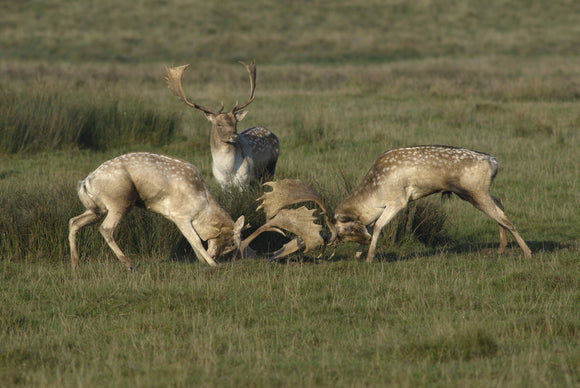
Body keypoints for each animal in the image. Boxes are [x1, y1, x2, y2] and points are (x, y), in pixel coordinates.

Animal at [68, 152, 247, 270]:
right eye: (232, 243)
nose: (215, 256)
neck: (203, 206)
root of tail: (86, 182)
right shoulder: (181, 215)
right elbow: (195, 239)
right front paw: (212, 264)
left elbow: (191, 240)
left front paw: (202, 261)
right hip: (120, 202)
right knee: (106, 228)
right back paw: (128, 264)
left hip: (98, 208)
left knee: (73, 221)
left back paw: (76, 264)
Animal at [164, 58, 280, 189]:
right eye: (219, 124)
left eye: (236, 122)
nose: (234, 136)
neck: (227, 171)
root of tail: (269, 131)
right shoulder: (223, 185)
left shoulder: (245, 181)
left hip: (271, 166)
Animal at [244, 147, 532, 262]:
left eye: (342, 232)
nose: (358, 245)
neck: (376, 188)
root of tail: (494, 162)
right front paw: (362, 254)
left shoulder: (400, 199)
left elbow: (379, 225)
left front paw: (369, 256)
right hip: (478, 192)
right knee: (500, 203)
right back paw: (501, 248)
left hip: (474, 190)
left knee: (504, 217)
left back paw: (528, 252)